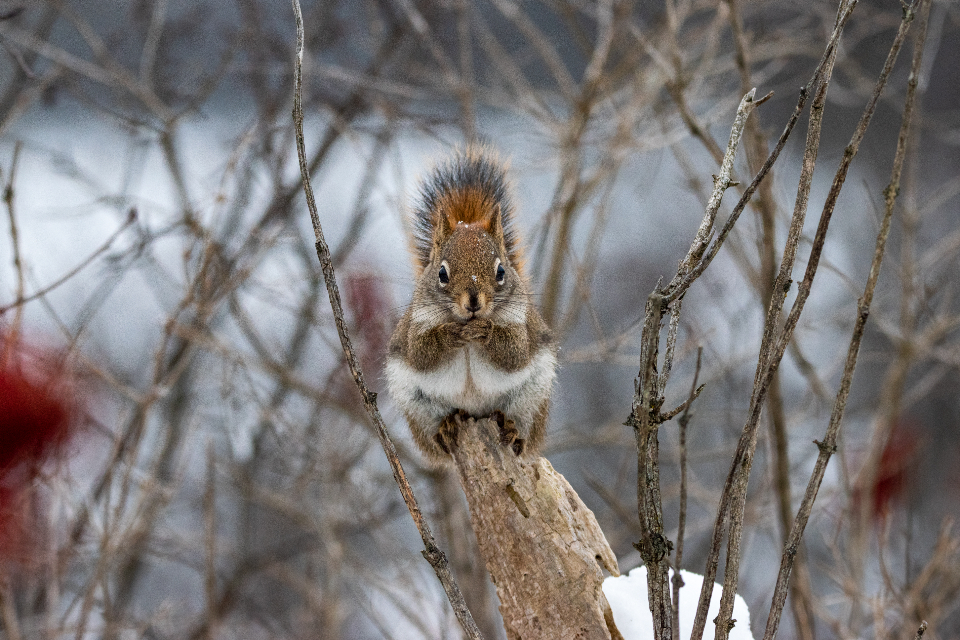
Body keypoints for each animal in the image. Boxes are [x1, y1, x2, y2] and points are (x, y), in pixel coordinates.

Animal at [385, 149, 558, 463]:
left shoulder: (521, 326)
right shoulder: (415, 325)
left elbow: (513, 352)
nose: (474, 302)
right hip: (417, 407)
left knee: (521, 429)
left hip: (531, 399)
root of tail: (476, 415)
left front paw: (485, 330)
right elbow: (421, 353)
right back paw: (445, 429)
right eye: (442, 274)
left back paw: (512, 430)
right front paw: (450, 333)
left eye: (501, 271)